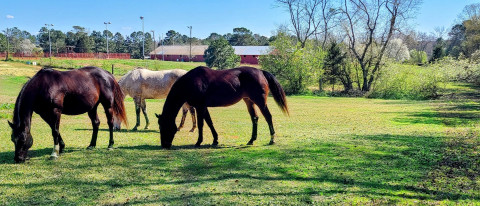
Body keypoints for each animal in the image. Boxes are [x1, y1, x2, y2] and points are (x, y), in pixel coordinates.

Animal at [157, 67, 288, 149]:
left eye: (164, 126)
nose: (164, 145)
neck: (191, 83)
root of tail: (260, 71)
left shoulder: (200, 107)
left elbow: (201, 124)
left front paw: (199, 142)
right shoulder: (203, 107)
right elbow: (209, 122)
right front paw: (215, 140)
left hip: (260, 101)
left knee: (268, 117)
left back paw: (272, 139)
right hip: (249, 101)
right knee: (254, 118)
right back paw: (251, 140)